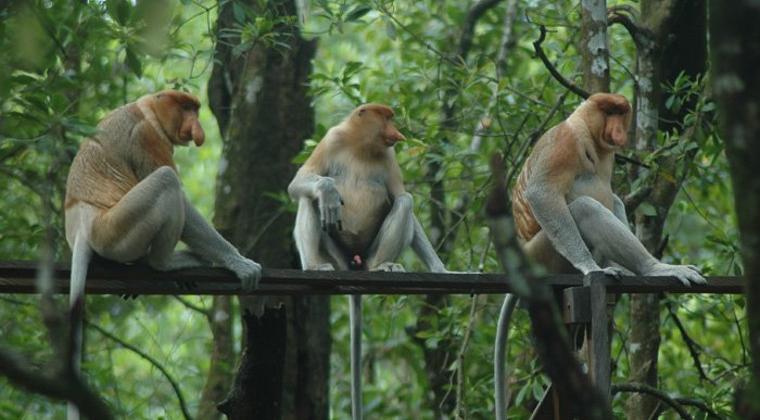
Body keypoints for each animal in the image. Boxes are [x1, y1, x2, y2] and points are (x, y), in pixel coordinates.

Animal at [63, 91, 258, 420]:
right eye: (187, 108)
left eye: (195, 109)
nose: (197, 128)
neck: (148, 110)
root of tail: (82, 224)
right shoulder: (147, 137)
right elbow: (179, 195)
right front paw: (241, 263)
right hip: (117, 229)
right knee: (166, 180)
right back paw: (168, 262)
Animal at [290, 104, 446, 420]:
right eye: (387, 117)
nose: (397, 132)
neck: (360, 146)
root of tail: (356, 263)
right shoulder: (332, 139)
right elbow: (300, 181)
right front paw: (329, 191)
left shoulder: (389, 156)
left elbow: (400, 195)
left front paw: (439, 267)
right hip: (336, 256)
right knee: (308, 199)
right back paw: (315, 264)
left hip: (369, 253)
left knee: (405, 201)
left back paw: (384, 266)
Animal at [496, 92, 704, 420]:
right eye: (609, 112)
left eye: (621, 112)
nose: (618, 130)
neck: (591, 137)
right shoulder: (565, 141)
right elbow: (543, 194)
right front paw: (590, 267)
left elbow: (612, 197)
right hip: (546, 253)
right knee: (584, 207)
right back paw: (653, 267)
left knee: (613, 200)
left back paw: (634, 269)